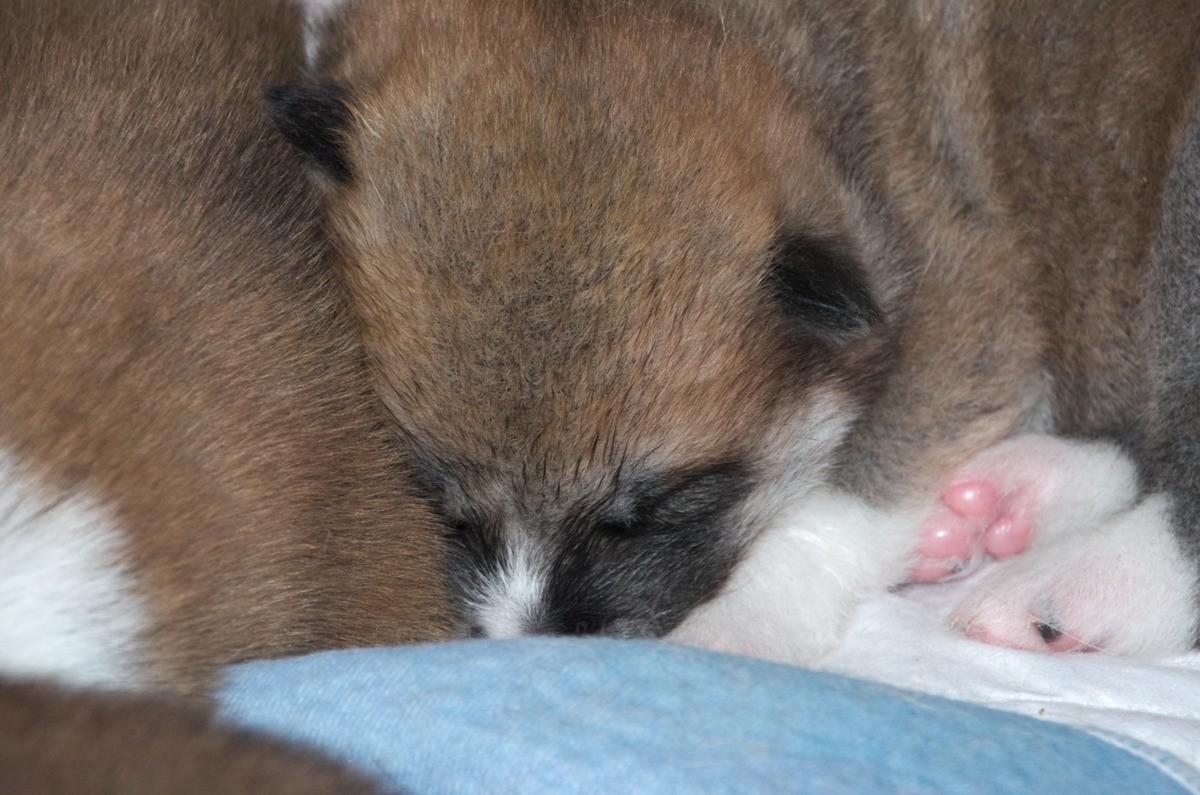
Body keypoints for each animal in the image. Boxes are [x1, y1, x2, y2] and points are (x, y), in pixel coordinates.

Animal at [270, 0, 1200, 662]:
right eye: (447, 507)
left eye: (644, 512)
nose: (532, 642)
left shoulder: (966, 309)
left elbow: (844, 496)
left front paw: (736, 627)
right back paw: (1005, 502)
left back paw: (1073, 586)